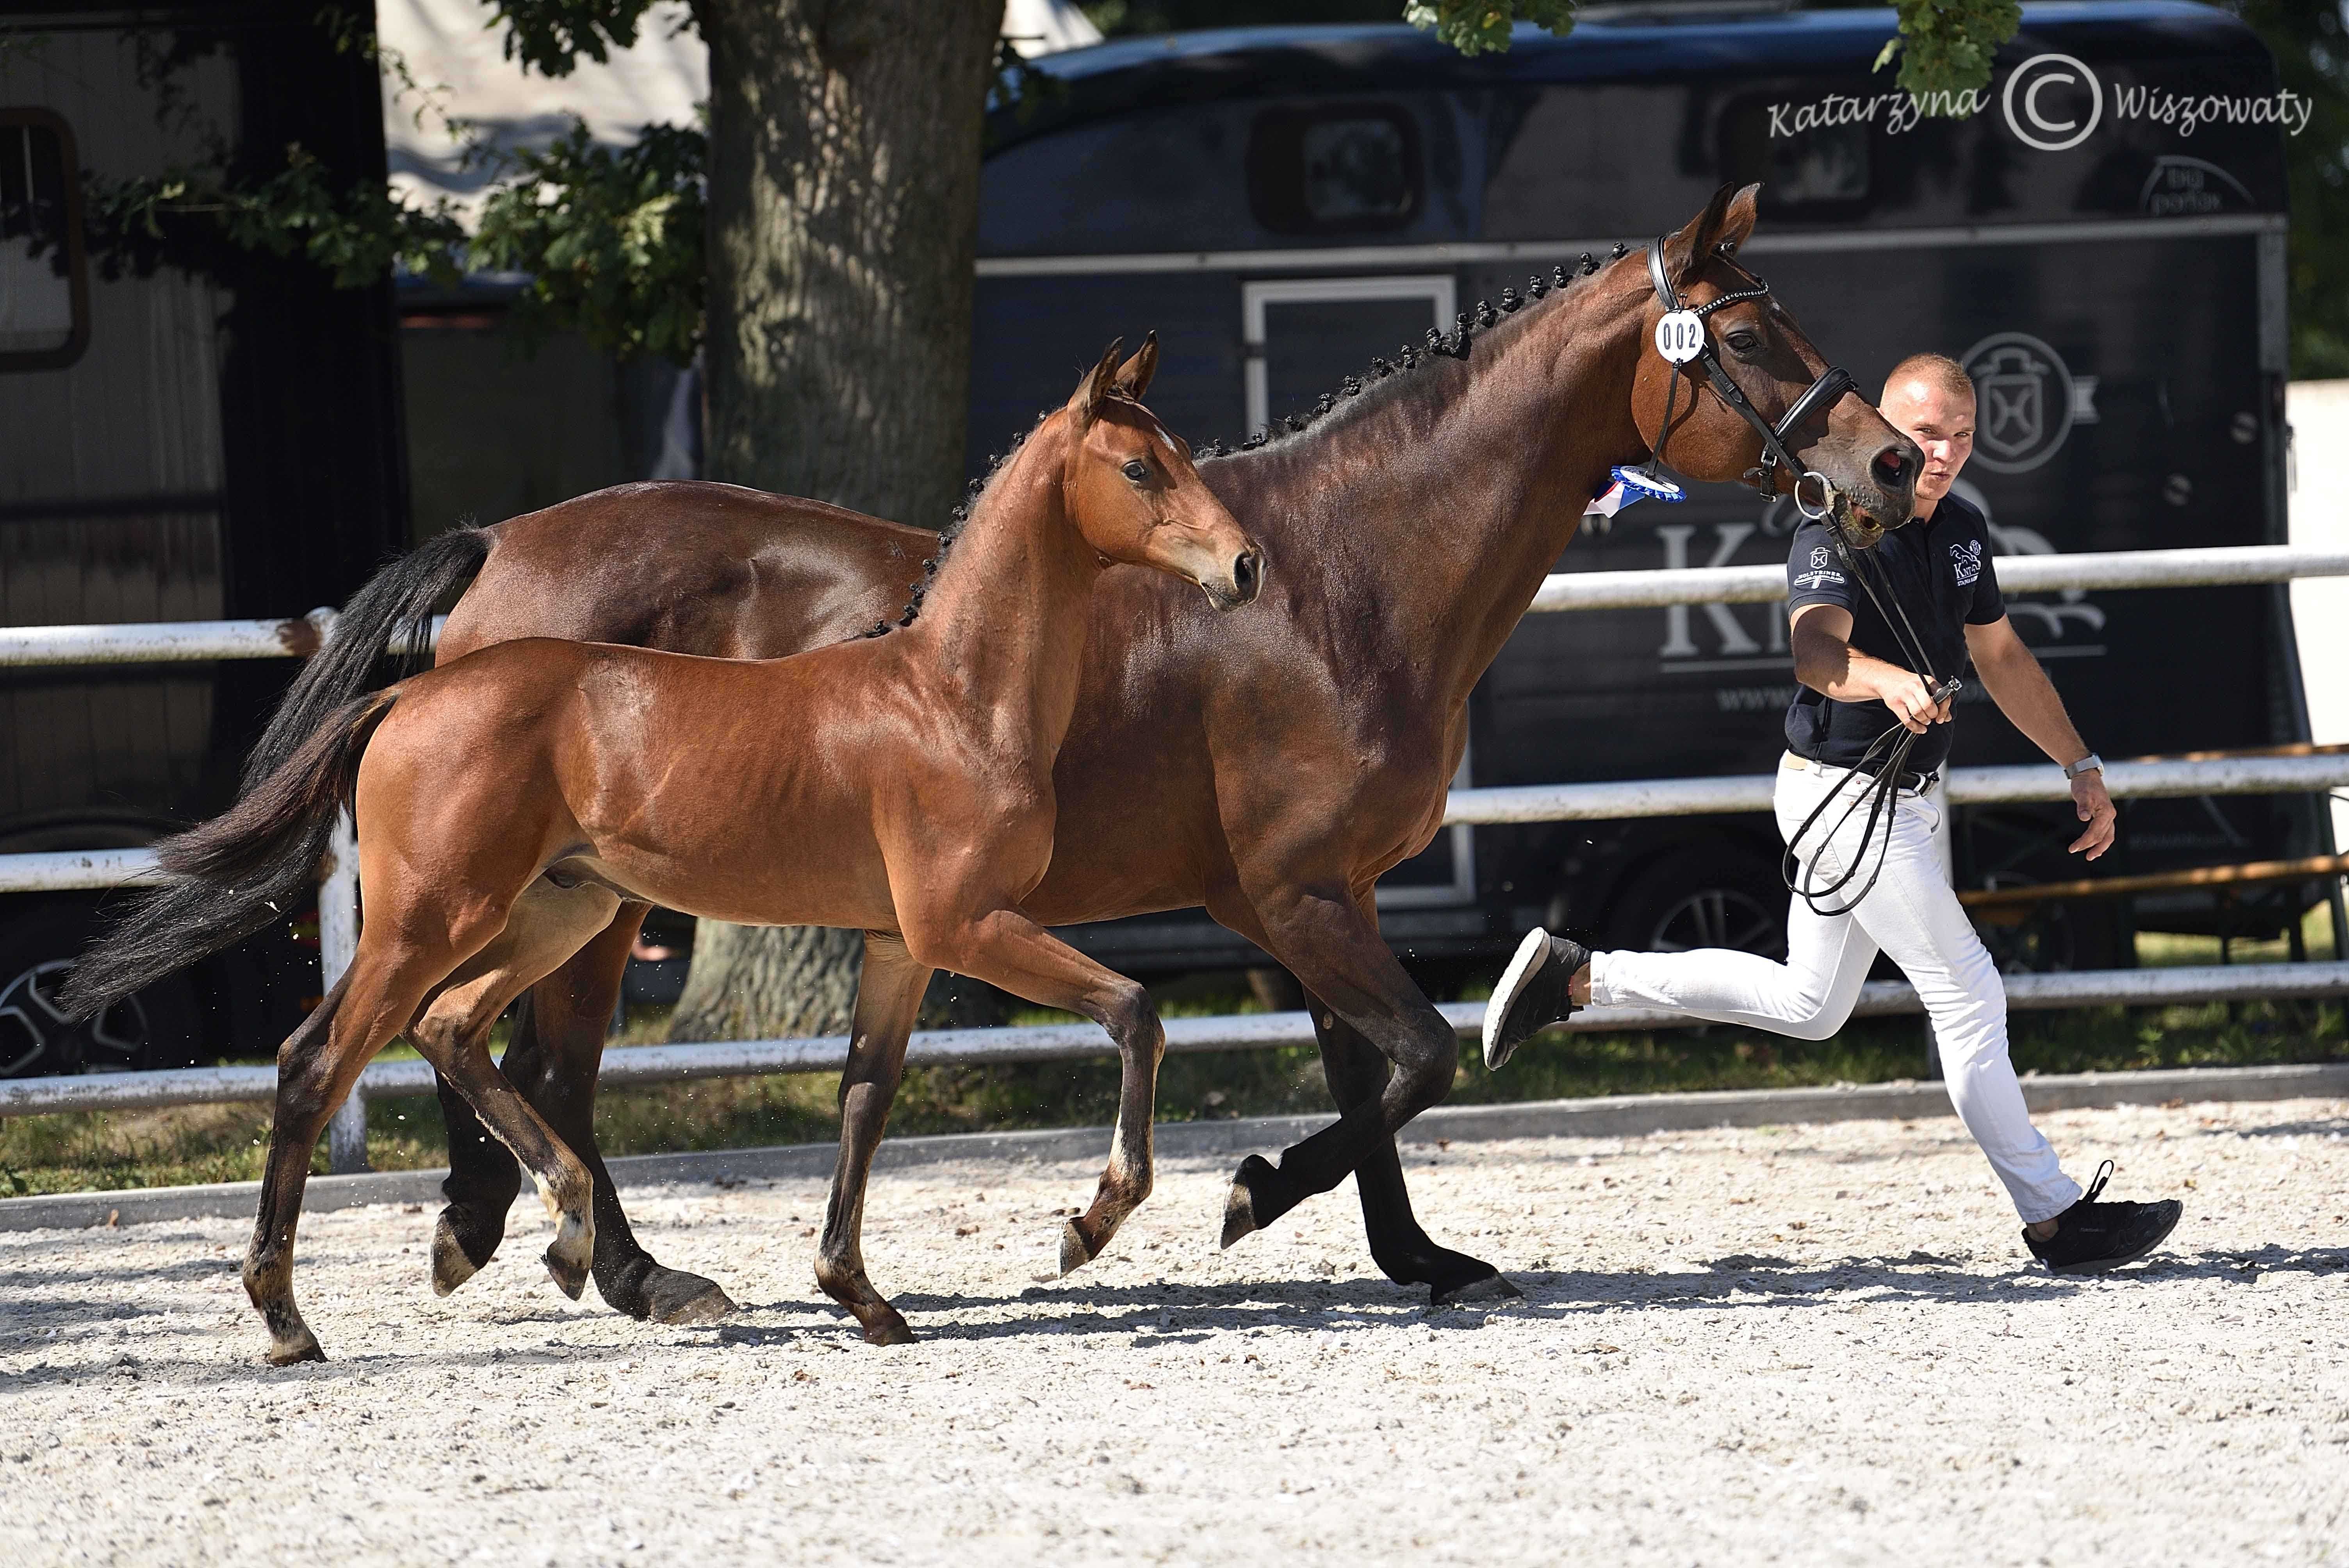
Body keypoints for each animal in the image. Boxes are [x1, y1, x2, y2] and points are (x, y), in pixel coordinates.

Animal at [171, 340, 1259, 1361]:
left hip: (561, 911)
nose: (1245, 565)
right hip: (431, 919)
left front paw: (862, 1297)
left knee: (455, 1031)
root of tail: (411, 691)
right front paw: (1089, 1223)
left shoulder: (901, 945)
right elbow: (1134, 1011)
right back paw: (292, 1316)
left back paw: (562, 1234)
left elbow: (864, 1098)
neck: (951, 693)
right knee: (322, 1061)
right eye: (1138, 468)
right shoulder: (968, 926)